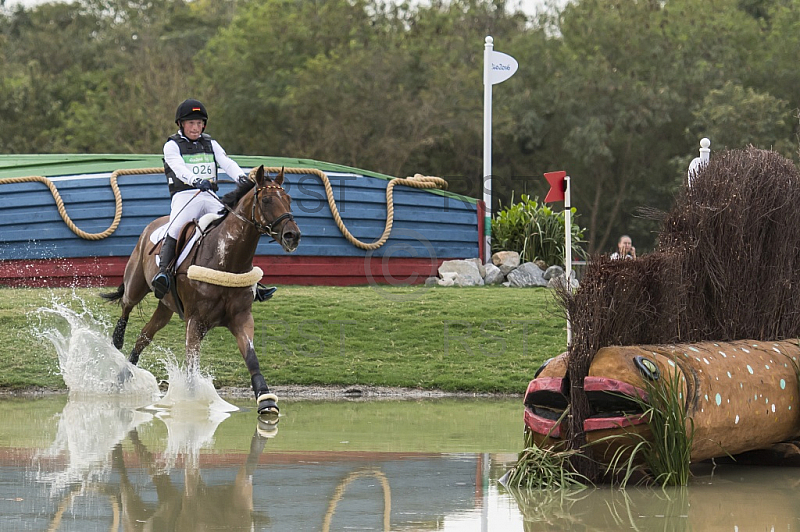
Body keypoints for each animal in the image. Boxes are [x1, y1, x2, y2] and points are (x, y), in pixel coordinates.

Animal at [100, 166, 300, 416]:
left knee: (144, 336)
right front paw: (191, 402)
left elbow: (251, 358)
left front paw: (265, 399)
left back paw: (123, 375)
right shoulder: (195, 321)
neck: (227, 259)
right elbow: (192, 364)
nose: (293, 236)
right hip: (136, 286)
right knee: (126, 307)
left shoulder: (241, 318)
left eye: (289, 199)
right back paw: (117, 340)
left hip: (165, 308)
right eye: (266, 200)